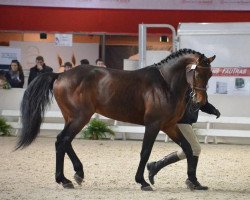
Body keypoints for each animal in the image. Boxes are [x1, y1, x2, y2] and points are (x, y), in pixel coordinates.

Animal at [16, 48, 215, 191]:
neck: (165, 83)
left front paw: (194, 181)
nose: (200, 101)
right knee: (62, 140)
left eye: (210, 75)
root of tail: (60, 75)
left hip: (73, 117)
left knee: (65, 142)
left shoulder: (169, 125)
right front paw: (142, 182)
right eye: (197, 73)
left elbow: (188, 148)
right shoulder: (153, 125)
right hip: (80, 117)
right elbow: (145, 152)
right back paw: (64, 180)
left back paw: (77, 174)